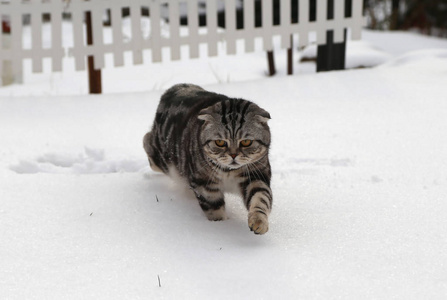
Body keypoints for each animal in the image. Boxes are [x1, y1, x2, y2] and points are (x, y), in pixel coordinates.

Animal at [144, 84, 272, 234]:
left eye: (246, 142)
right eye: (220, 142)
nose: (233, 155)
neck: (229, 172)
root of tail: (175, 88)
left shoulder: (256, 176)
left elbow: (260, 199)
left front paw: (258, 222)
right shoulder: (204, 184)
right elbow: (214, 209)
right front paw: (219, 226)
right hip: (163, 159)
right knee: (146, 141)